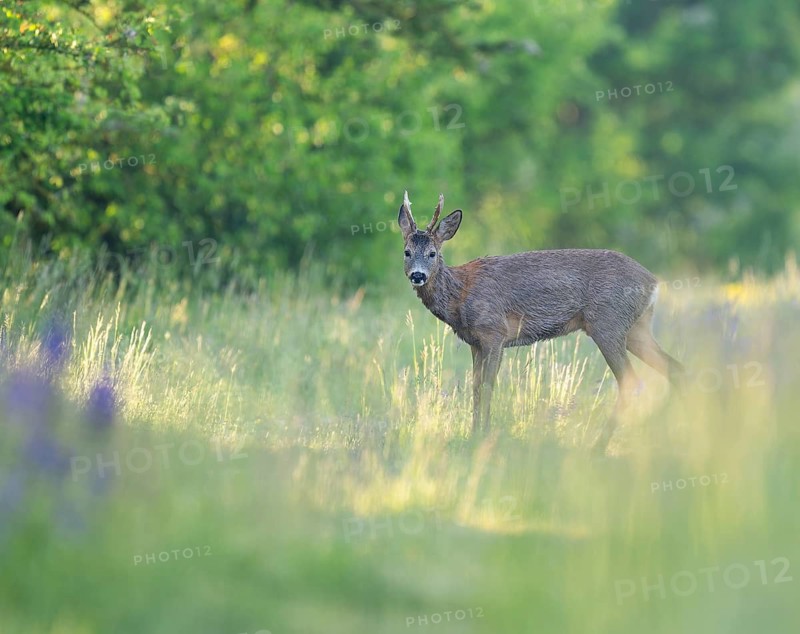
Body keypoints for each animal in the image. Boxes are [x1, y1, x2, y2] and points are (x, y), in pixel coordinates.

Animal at [397, 191, 685, 451]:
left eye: (433, 253)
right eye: (407, 252)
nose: (418, 276)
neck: (460, 296)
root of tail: (653, 283)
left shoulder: (494, 332)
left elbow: (488, 386)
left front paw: (483, 436)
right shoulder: (474, 342)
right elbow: (475, 388)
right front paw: (473, 434)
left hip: (608, 323)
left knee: (631, 382)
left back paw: (599, 446)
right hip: (636, 329)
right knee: (675, 369)